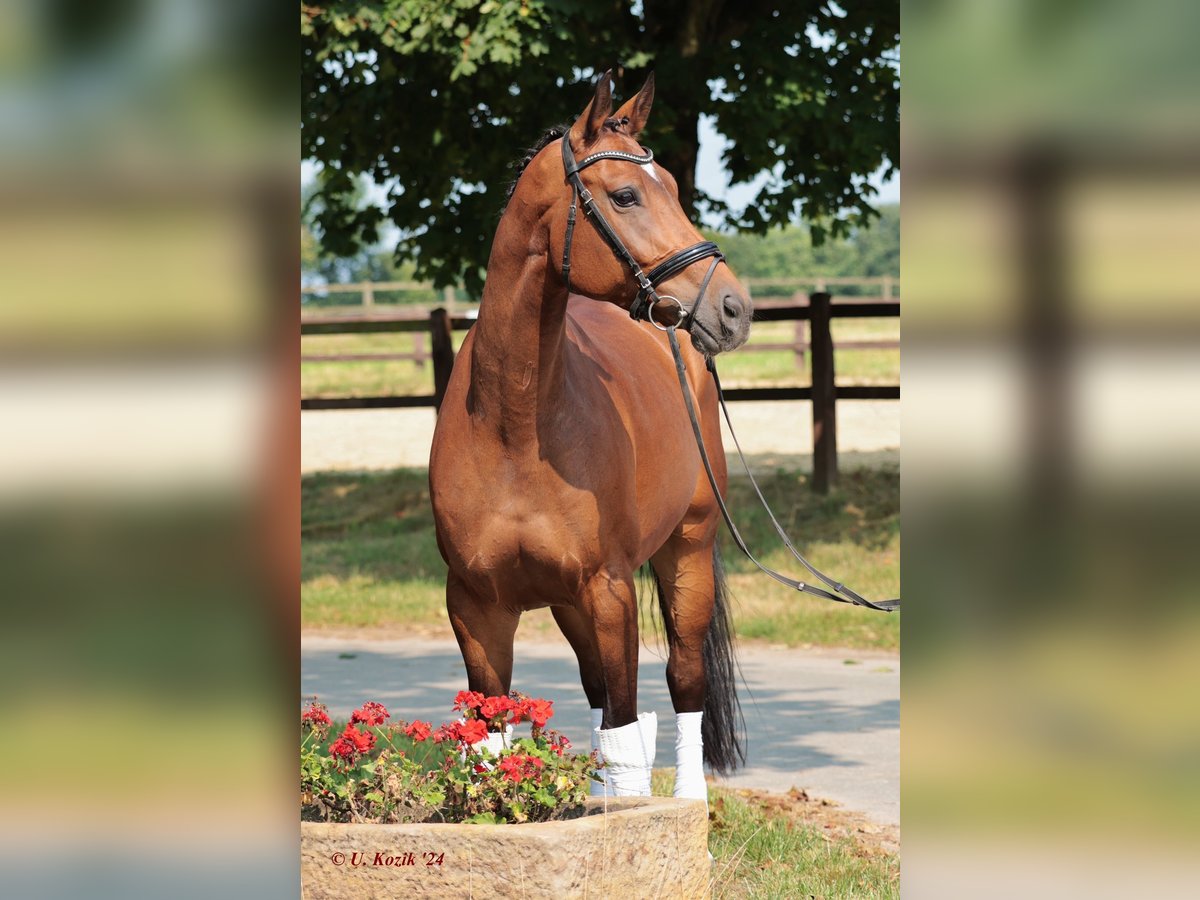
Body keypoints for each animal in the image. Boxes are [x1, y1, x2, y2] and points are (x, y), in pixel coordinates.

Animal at [429, 72, 748, 801]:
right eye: (626, 194)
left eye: (675, 188)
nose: (733, 309)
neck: (516, 427)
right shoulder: (477, 607)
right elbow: (492, 740)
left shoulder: (610, 594)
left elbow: (628, 734)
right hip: (568, 605)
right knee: (600, 693)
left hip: (687, 552)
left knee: (683, 683)